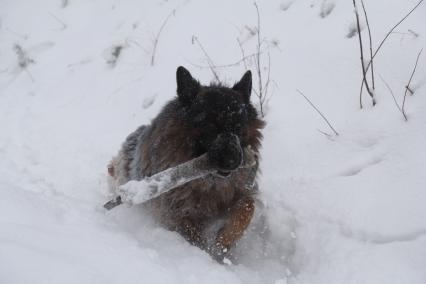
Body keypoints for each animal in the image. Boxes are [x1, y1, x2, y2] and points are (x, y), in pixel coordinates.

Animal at [107, 66, 262, 262]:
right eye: (210, 127)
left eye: (239, 128)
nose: (232, 162)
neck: (210, 183)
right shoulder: (177, 212)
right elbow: (191, 233)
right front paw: (206, 252)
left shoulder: (240, 192)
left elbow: (247, 207)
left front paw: (223, 243)